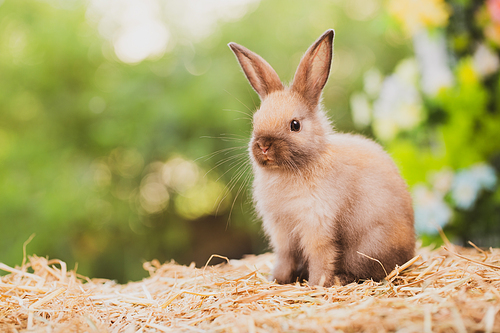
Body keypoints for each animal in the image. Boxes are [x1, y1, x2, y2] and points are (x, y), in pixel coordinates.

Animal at [229, 29, 416, 286]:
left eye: (295, 125)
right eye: (255, 122)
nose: (264, 146)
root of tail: (411, 251)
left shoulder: (317, 225)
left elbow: (321, 256)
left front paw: (316, 284)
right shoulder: (282, 233)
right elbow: (285, 258)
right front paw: (277, 280)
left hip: (368, 249)